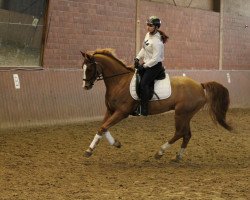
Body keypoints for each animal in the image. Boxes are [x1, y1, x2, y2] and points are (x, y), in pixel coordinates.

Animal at [80, 49, 232, 162]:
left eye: (89, 68)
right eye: (83, 67)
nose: (85, 86)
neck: (119, 81)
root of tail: (200, 85)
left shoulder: (122, 112)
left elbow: (103, 127)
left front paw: (90, 150)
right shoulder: (110, 111)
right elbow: (102, 127)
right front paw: (112, 144)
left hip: (181, 114)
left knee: (180, 132)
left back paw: (160, 152)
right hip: (186, 115)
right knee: (187, 134)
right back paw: (178, 156)